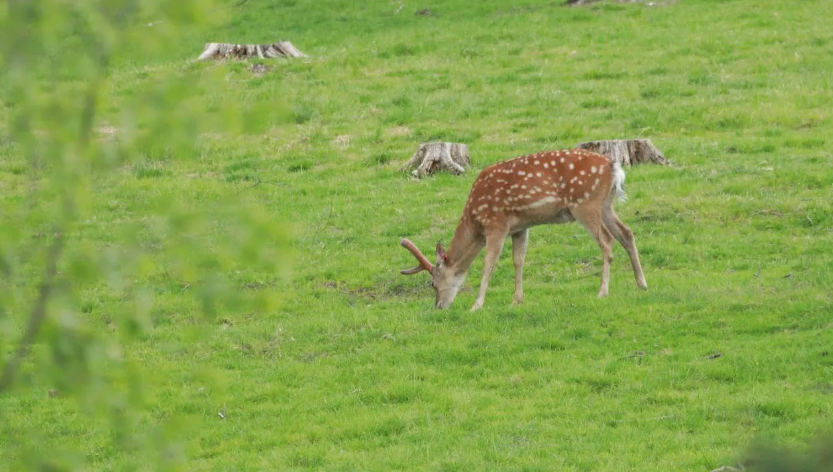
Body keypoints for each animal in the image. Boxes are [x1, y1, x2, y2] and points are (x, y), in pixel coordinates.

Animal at [400, 148, 648, 310]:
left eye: (433, 283)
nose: (439, 306)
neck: (475, 220)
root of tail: (614, 167)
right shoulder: (520, 227)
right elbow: (518, 260)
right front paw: (517, 299)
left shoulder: (496, 224)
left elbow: (489, 263)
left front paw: (477, 304)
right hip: (605, 205)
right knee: (627, 233)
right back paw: (642, 284)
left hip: (585, 203)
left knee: (606, 240)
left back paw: (602, 292)